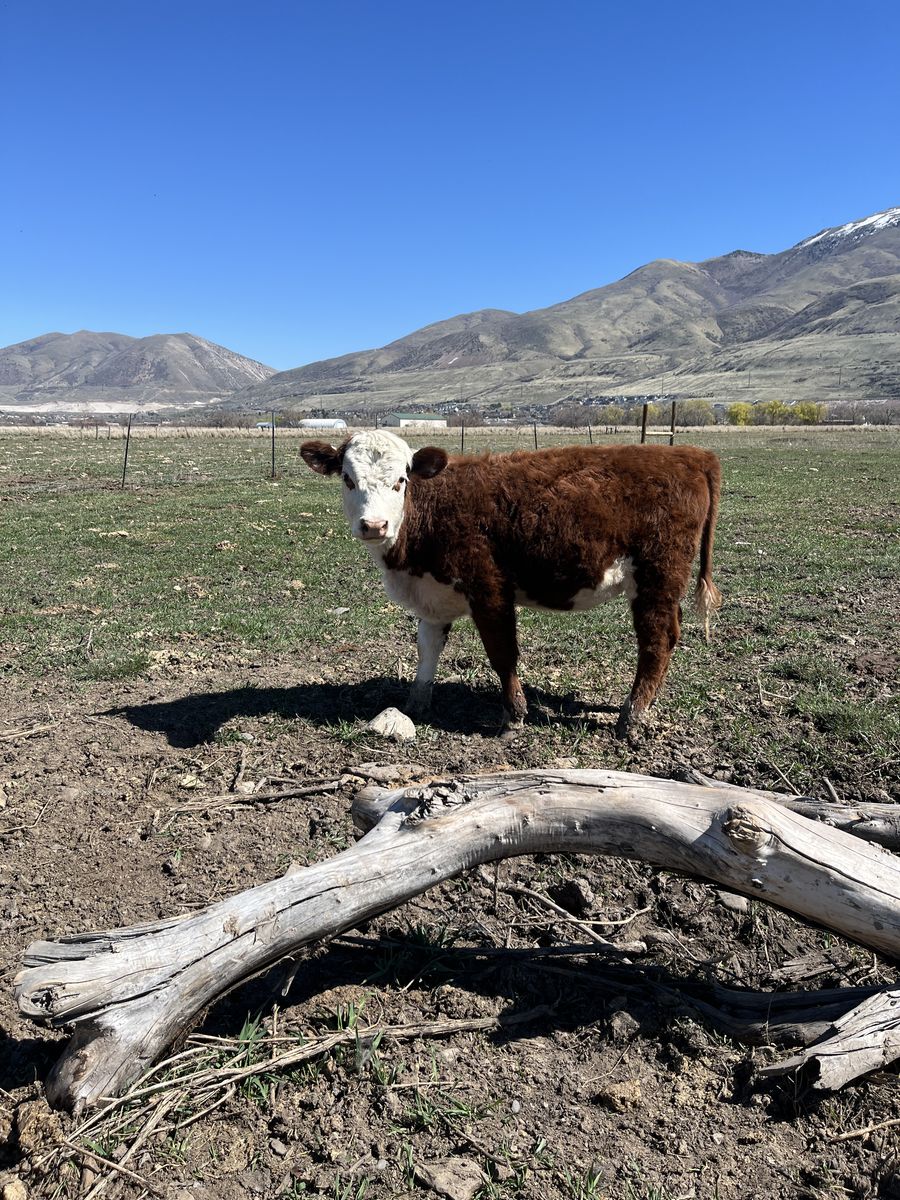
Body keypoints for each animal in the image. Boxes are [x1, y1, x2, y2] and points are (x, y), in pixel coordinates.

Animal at [300, 430, 722, 735]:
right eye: (348, 479)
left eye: (401, 480)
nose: (374, 525)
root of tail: (693, 455)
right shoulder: (433, 597)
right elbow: (427, 649)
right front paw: (415, 704)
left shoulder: (489, 588)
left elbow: (502, 653)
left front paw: (514, 714)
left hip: (657, 575)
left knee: (657, 641)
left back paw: (631, 715)